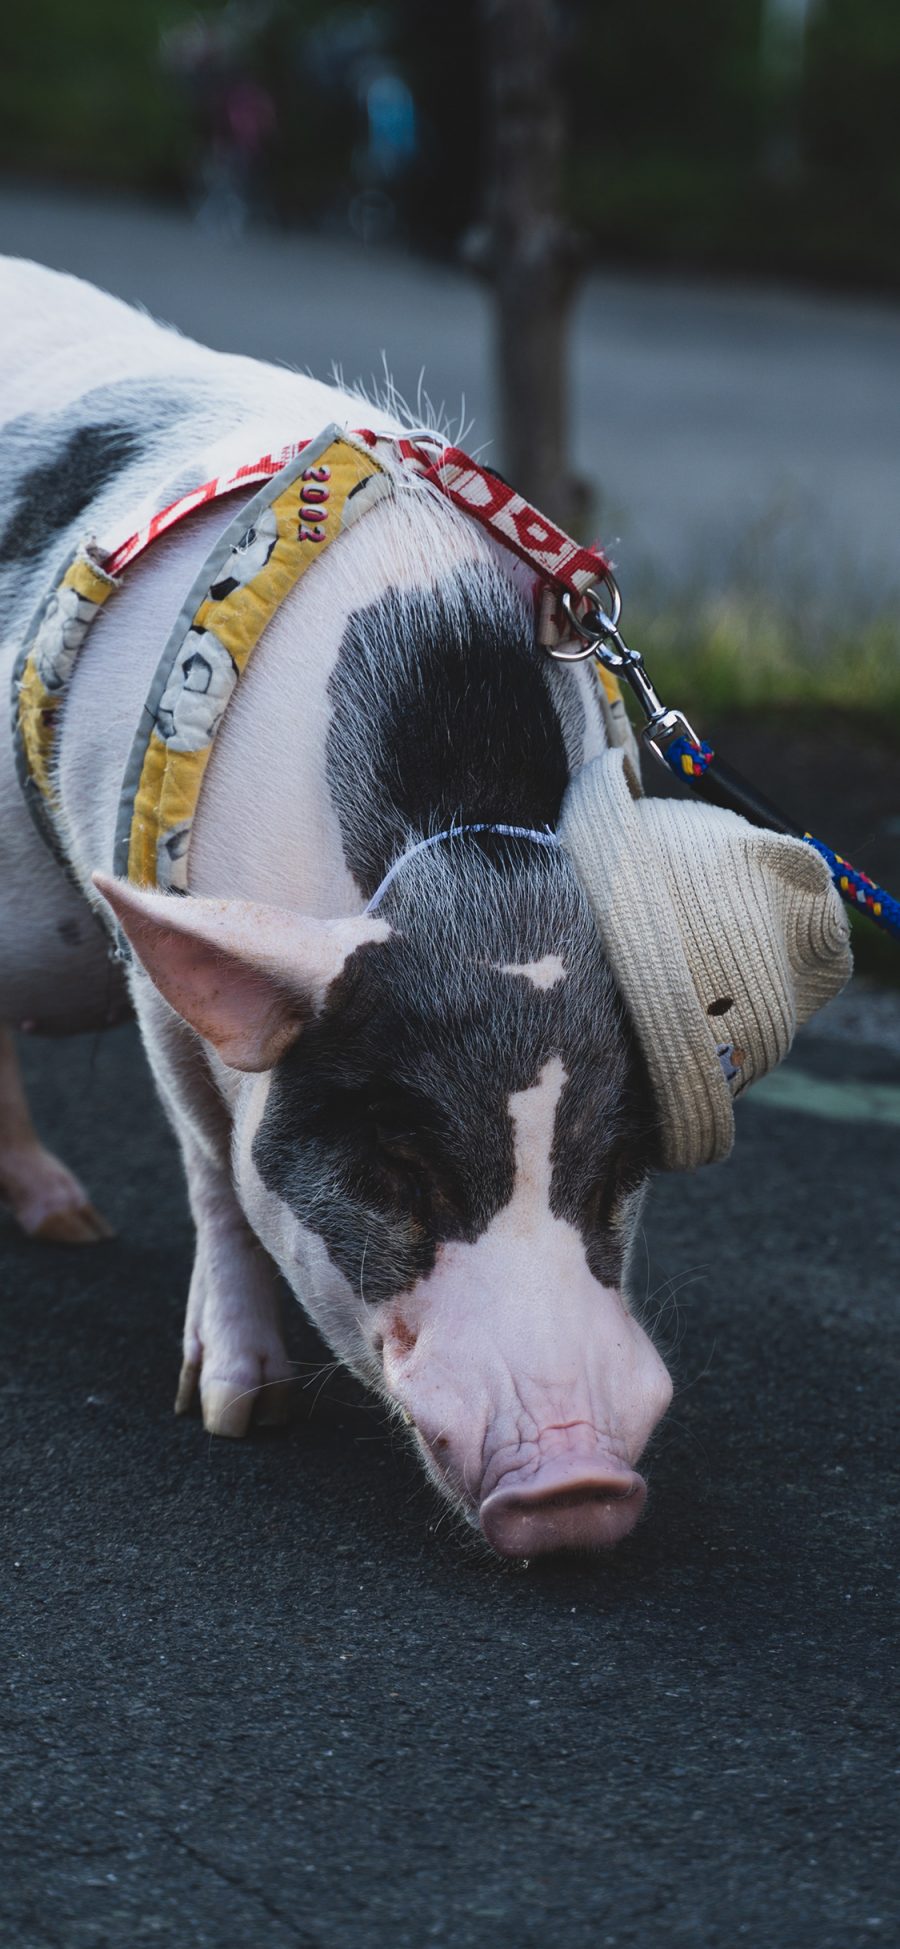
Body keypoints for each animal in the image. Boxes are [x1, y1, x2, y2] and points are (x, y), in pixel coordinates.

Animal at [0, 259, 666, 1559]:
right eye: (396, 1171)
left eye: (617, 1166)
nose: (578, 1489)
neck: (467, 852)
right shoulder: (156, 960)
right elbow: (213, 1161)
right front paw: (234, 1408)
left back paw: (69, 1224)